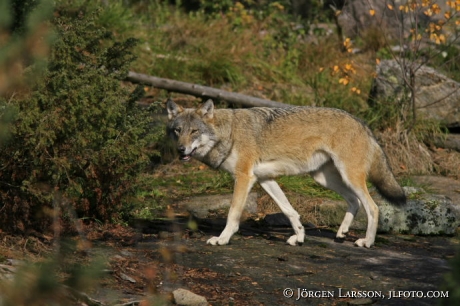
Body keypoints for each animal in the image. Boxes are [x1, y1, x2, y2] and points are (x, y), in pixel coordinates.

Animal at [166, 99, 406, 247]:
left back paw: (367, 242)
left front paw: (222, 239)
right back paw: (342, 233)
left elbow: (232, 214)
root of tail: (362, 123)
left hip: (348, 177)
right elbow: (289, 211)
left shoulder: (244, 178)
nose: (180, 150)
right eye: (178, 131)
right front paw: (299, 236)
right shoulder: (264, 179)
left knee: (373, 207)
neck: (229, 133)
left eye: (194, 131)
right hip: (324, 179)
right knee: (354, 201)